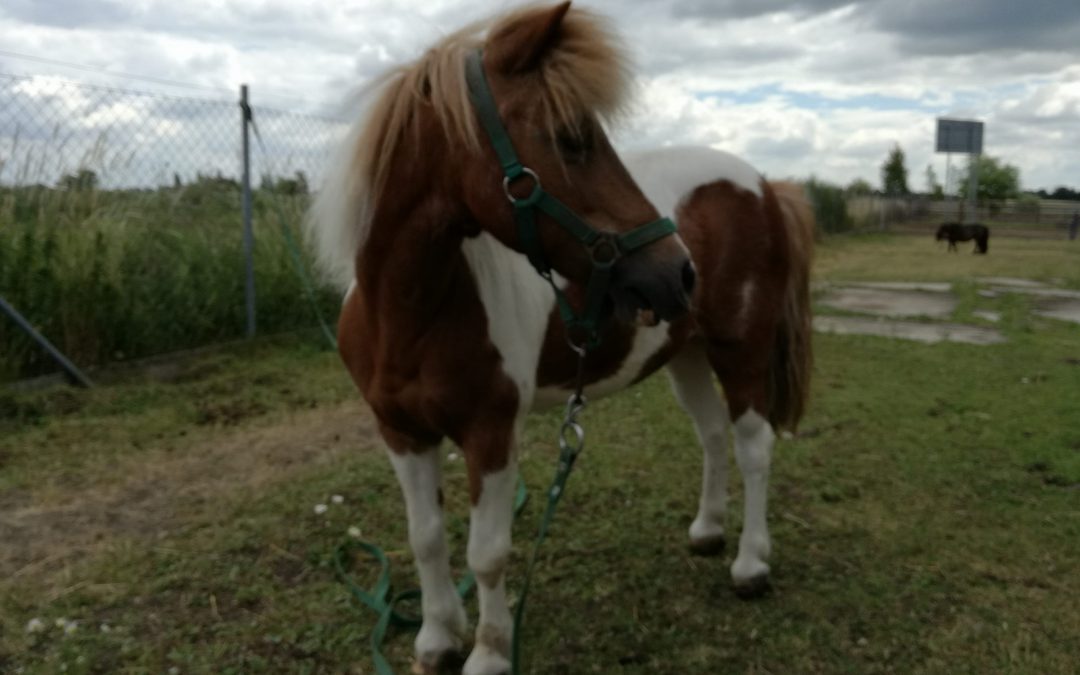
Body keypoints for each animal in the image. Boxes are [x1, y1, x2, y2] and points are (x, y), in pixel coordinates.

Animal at [308, 2, 812, 669]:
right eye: (572, 138)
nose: (679, 272)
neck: (407, 315)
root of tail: (762, 183)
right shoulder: (402, 432)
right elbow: (426, 538)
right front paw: (437, 637)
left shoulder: (491, 432)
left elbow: (486, 552)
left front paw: (490, 653)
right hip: (687, 353)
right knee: (711, 435)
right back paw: (707, 532)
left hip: (742, 349)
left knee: (754, 446)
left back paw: (751, 564)